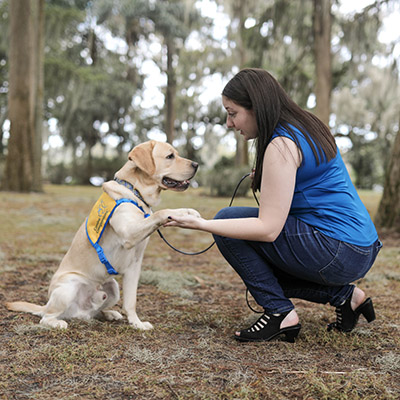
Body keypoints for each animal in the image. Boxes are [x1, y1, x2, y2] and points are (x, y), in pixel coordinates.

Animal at [5, 142, 199, 330]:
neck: (135, 192)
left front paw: (136, 323)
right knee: (46, 317)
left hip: (113, 288)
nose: (196, 164)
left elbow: (131, 301)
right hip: (68, 287)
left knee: (93, 312)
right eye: (170, 156)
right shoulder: (129, 233)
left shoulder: (135, 264)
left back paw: (109, 314)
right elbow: (160, 213)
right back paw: (57, 322)